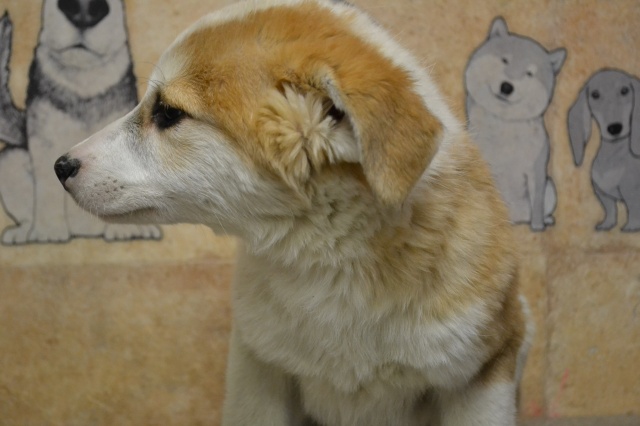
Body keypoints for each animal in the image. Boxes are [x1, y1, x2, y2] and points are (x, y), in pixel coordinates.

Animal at [0, 0, 161, 244]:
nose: (84, 10)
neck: (84, 84)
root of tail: (85, 231)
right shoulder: (44, 143)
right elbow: (47, 191)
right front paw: (48, 232)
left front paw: (124, 230)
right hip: (9, 159)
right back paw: (24, 232)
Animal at [465, 17, 566, 231]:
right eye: (505, 60)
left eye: (529, 73)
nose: (506, 87)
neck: (505, 125)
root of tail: (518, 220)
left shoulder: (536, 170)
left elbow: (536, 202)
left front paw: (538, 226)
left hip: (551, 188)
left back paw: (544, 220)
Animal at [568, 68, 640, 232]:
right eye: (595, 94)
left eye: (625, 90)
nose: (614, 128)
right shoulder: (602, 193)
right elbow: (610, 209)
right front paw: (607, 224)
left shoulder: (632, 191)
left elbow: (633, 209)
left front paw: (631, 226)